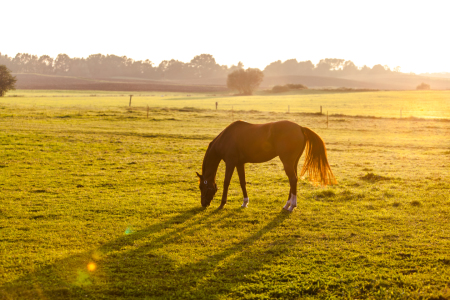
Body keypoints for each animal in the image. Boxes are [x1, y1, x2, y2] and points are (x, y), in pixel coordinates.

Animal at [195, 119, 336, 211]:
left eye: (202, 187)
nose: (203, 204)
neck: (226, 138)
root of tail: (300, 128)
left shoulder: (230, 163)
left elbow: (226, 182)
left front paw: (222, 204)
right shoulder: (240, 164)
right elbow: (242, 182)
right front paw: (245, 202)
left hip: (287, 162)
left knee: (292, 179)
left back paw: (292, 205)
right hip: (293, 162)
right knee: (293, 180)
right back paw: (287, 204)